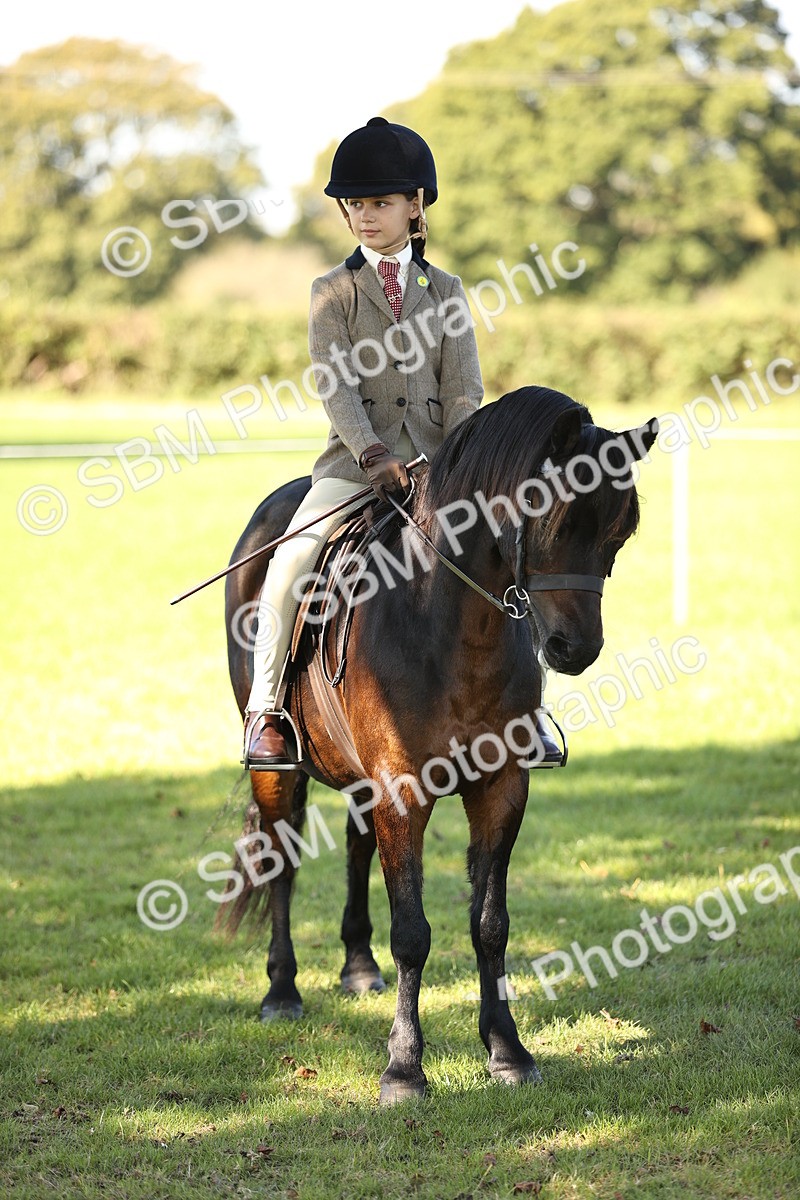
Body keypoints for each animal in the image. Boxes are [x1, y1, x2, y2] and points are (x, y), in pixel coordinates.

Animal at [219, 385, 658, 1104]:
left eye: (620, 531)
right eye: (552, 517)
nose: (575, 649)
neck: (451, 622)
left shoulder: (502, 787)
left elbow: (490, 923)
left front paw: (507, 1049)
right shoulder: (403, 790)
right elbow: (413, 933)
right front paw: (404, 1067)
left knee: (356, 845)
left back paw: (357, 965)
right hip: (280, 768)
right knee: (281, 859)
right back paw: (281, 991)